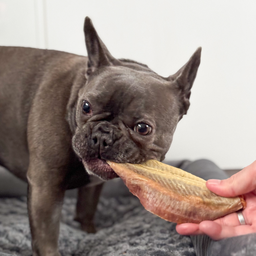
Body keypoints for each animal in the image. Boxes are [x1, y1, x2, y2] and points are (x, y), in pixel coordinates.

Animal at [0, 17, 200, 255]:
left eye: (143, 128)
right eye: (86, 106)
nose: (103, 135)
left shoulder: (92, 187)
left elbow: (86, 209)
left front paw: (88, 233)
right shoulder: (45, 186)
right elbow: (46, 235)